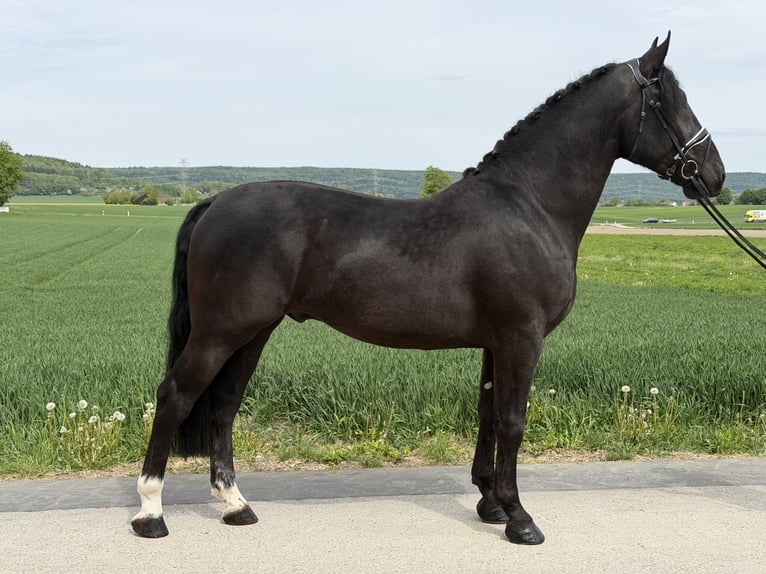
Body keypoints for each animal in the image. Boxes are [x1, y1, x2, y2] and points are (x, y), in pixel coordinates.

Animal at [131, 33, 724, 544]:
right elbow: (513, 421)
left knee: (224, 405)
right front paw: (520, 519)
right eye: (672, 101)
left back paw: (236, 506)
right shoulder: (522, 337)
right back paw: (151, 513)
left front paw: (489, 503)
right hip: (220, 332)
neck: (528, 205)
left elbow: (488, 416)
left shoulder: (496, 342)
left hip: (252, 332)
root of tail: (216, 202)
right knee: (176, 396)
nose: (714, 174)